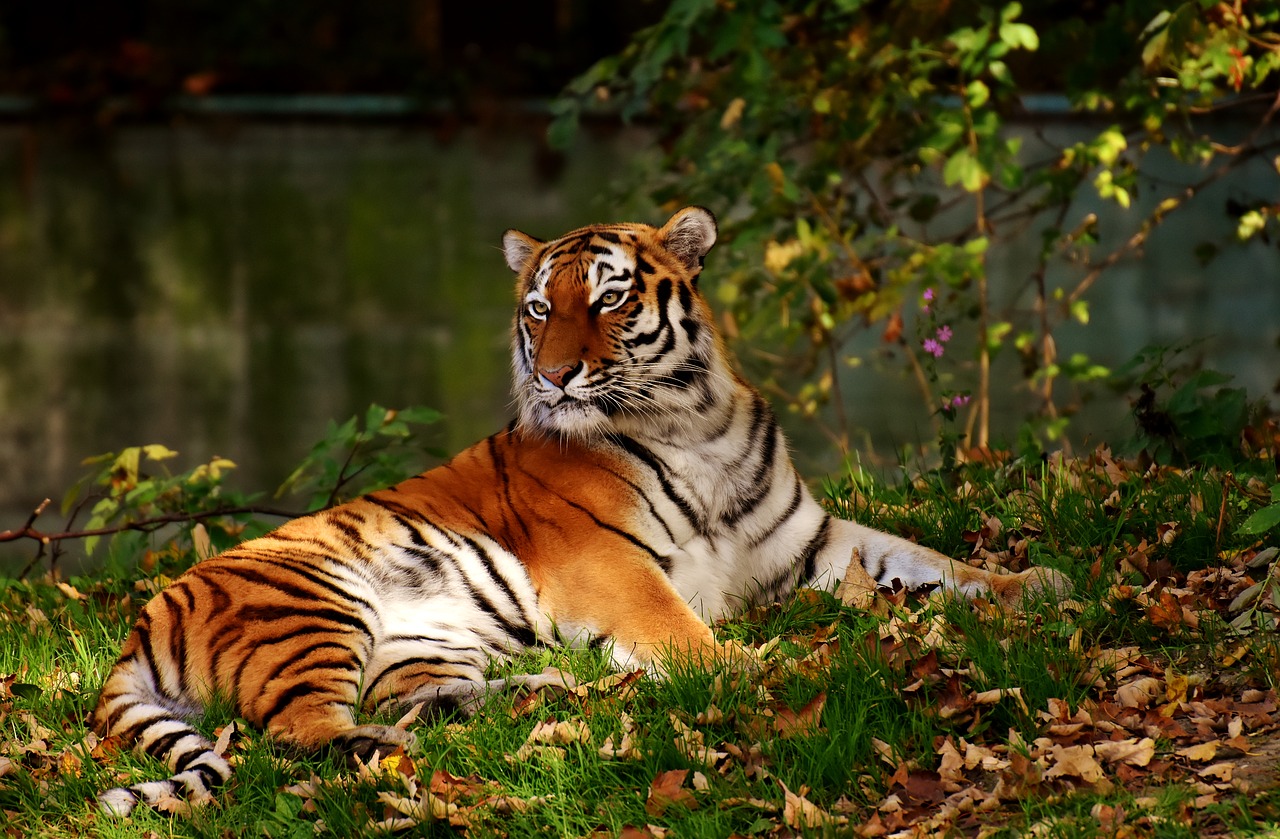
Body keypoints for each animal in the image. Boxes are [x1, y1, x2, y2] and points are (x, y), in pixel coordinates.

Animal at [90, 206, 1070, 819]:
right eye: (537, 307)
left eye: (608, 296)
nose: (557, 374)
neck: (695, 420)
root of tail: (142, 619)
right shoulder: (611, 564)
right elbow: (683, 633)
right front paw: (760, 666)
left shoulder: (810, 539)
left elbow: (929, 559)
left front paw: (1038, 581)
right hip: (314, 603)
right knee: (300, 734)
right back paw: (387, 747)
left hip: (423, 638)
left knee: (416, 699)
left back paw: (554, 690)